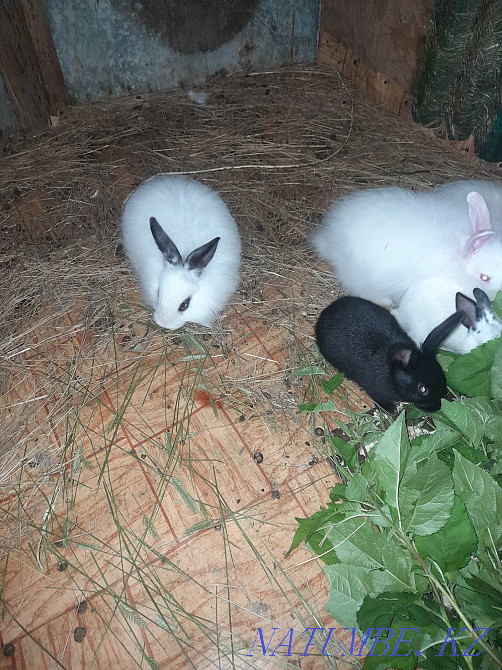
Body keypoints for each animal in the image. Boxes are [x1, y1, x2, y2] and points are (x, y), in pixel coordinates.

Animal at [315, 296, 465, 412]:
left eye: (442, 378)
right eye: (422, 389)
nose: (437, 407)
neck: (391, 373)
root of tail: (327, 311)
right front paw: (391, 409)